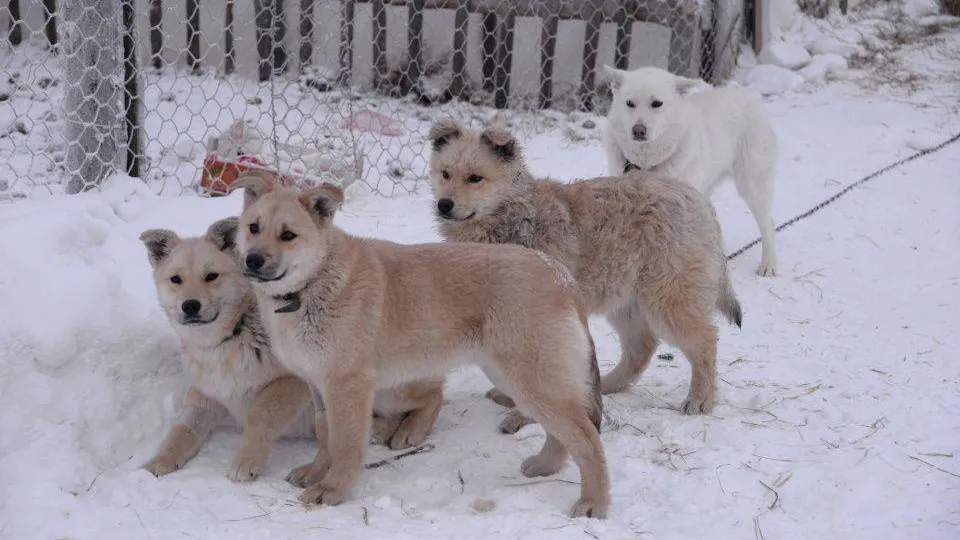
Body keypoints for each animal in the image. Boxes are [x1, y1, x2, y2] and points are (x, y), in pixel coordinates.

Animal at [138, 219, 442, 480]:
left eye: (211, 276)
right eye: (175, 279)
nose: (190, 305)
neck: (234, 334)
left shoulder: (293, 381)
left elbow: (259, 414)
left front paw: (246, 461)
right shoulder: (206, 394)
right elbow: (182, 429)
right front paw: (158, 461)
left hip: (380, 387)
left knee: (434, 395)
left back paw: (403, 429)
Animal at [230, 178, 612, 520]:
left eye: (288, 235)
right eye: (253, 227)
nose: (253, 260)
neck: (314, 283)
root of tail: (560, 275)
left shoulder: (348, 387)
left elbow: (344, 443)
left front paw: (333, 489)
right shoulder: (318, 387)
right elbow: (326, 436)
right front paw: (315, 472)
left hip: (528, 382)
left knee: (587, 439)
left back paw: (594, 503)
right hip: (513, 380)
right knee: (563, 434)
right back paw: (546, 466)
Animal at [428, 117, 744, 422]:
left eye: (475, 178)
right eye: (445, 173)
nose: (444, 205)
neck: (511, 218)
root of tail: (697, 198)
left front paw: (523, 415)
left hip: (667, 297)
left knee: (704, 341)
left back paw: (700, 399)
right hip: (624, 298)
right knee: (641, 347)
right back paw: (608, 385)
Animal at [604, 66, 784, 276]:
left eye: (657, 104)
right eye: (629, 103)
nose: (638, 130)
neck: (648, 163)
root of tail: (748, 97)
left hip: (753, 187)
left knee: (769, 225)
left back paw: (768, 264)